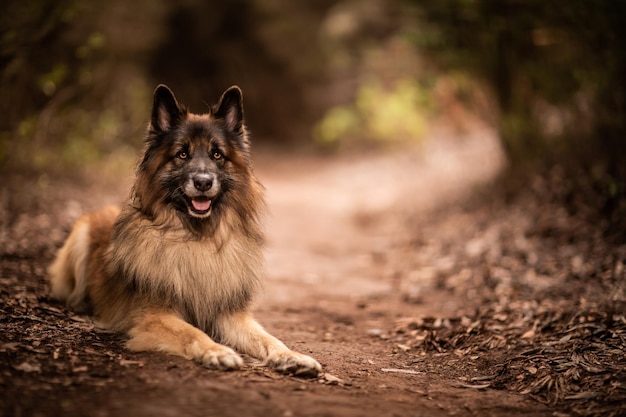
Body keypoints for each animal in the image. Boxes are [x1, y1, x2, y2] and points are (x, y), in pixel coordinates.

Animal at [47, 84, 322, 376]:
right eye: (182, 154)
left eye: (217, 154)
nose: (203, 182)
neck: (197, 237)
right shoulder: (156, 316)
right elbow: (192, 332)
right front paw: (216, 351)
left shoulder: (230, 316)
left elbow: (268, 338)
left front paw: (290, 355)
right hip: (79, 238)